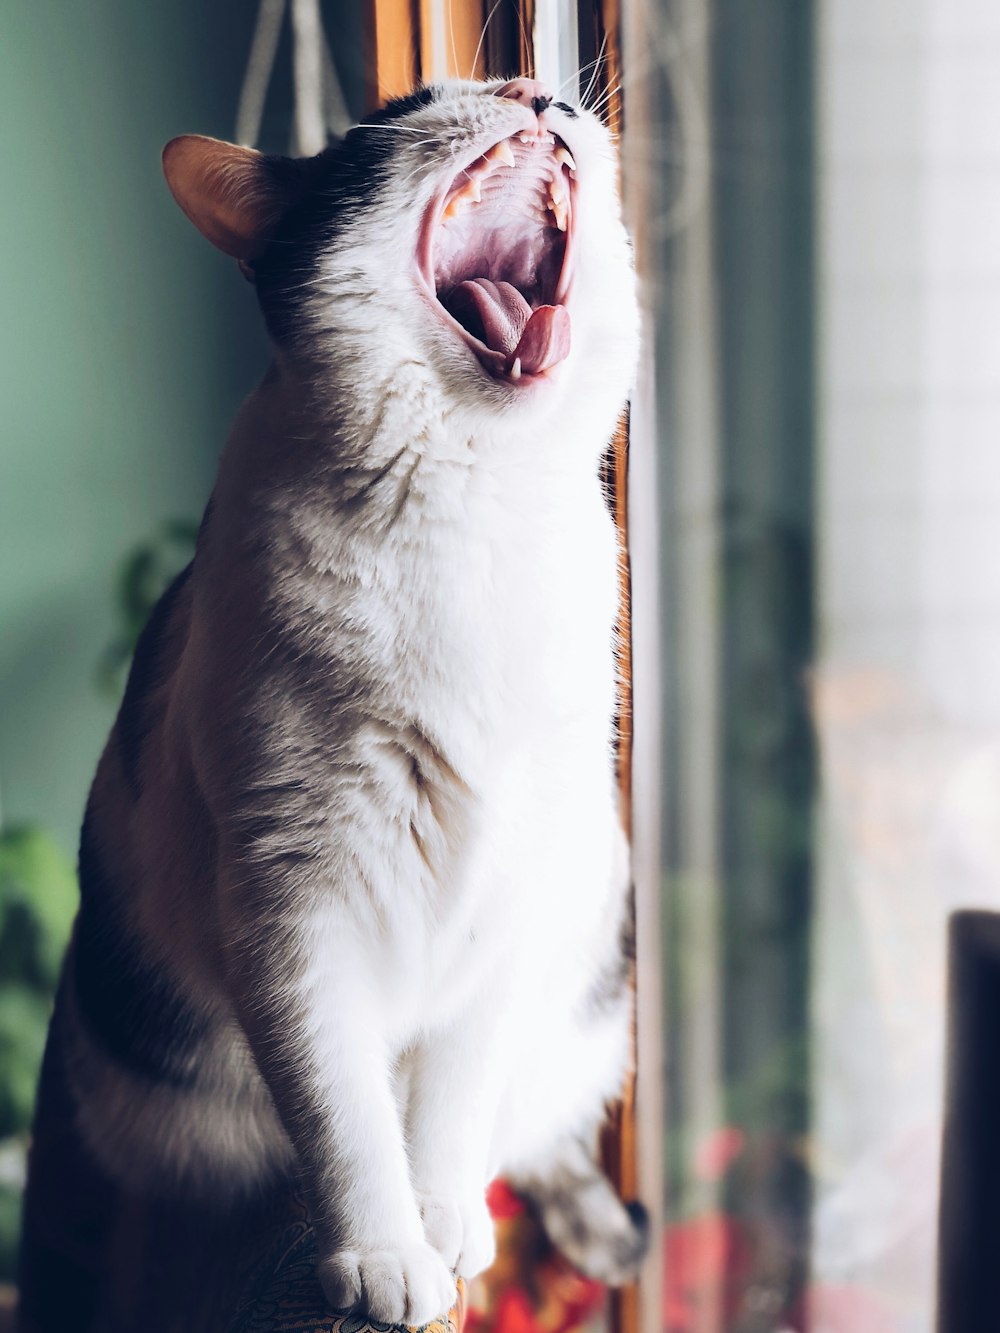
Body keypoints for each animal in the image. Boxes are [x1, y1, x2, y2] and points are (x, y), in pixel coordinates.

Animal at [17, 77, 650, 1327]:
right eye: (413, 107)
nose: (532, 87)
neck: (476, 515)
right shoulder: (291, 905)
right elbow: (346, 1119)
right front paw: (383, 1259)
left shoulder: (511, 899)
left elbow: (448, 1105)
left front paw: (444, 1224)